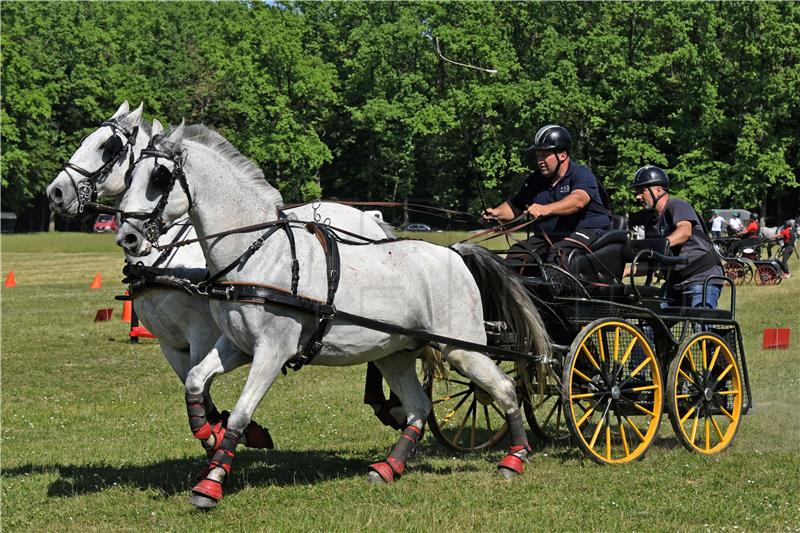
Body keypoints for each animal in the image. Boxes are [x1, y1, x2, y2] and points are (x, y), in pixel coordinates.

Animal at [45, 101, 396, 454]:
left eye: (108, 146)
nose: (56, 192)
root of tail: (371, 221)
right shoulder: (170, 344)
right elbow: (193, 384)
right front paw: (227, 429)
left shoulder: (202, 334)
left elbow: (203, 383)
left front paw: (228, 433)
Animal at [114, 122, 552, 510]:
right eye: (130, 173)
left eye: (159, 177)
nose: (127, 238)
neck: (259, 253)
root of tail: (455, 251)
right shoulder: (235, 346)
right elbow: (194, 382)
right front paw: (209, 434)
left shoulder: (272, 351)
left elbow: (240, 413)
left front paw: (211, 483)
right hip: (395, 353)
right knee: (418, 407)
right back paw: (389, 468)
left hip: (463, 349)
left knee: (504, 389)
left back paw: (514, 459)